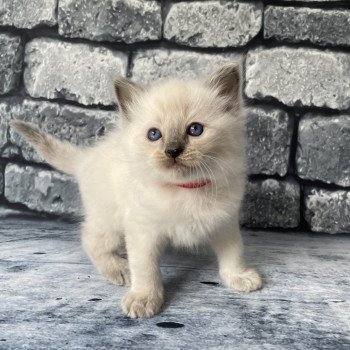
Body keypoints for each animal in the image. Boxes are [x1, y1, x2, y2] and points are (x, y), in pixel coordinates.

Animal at [10, 63, 262, 318]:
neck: (185, 189)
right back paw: (119, 269)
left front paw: (240, 277)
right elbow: (145, 269)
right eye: (154, 134)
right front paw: (144, 298)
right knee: (89, 240)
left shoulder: (224, 222)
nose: (172, 151)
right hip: (110, 222)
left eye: (195, 130)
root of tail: (85, 158)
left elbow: (234, 252)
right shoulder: (142, 231)